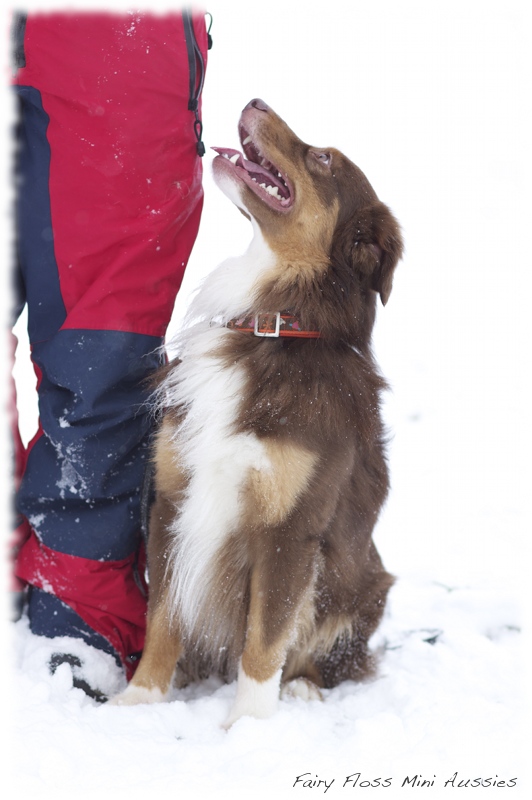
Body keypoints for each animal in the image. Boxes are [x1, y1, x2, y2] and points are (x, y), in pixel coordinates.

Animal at [111, 98, 404, 724]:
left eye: (322, 158)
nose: (256, 102)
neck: (271, 325)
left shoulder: (290, 529)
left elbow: (265, 639)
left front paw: (248, 724)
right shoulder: (173, 500)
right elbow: (164, 619)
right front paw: (140, 699)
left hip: (366, 586)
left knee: (331, 655)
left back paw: (304, 689)